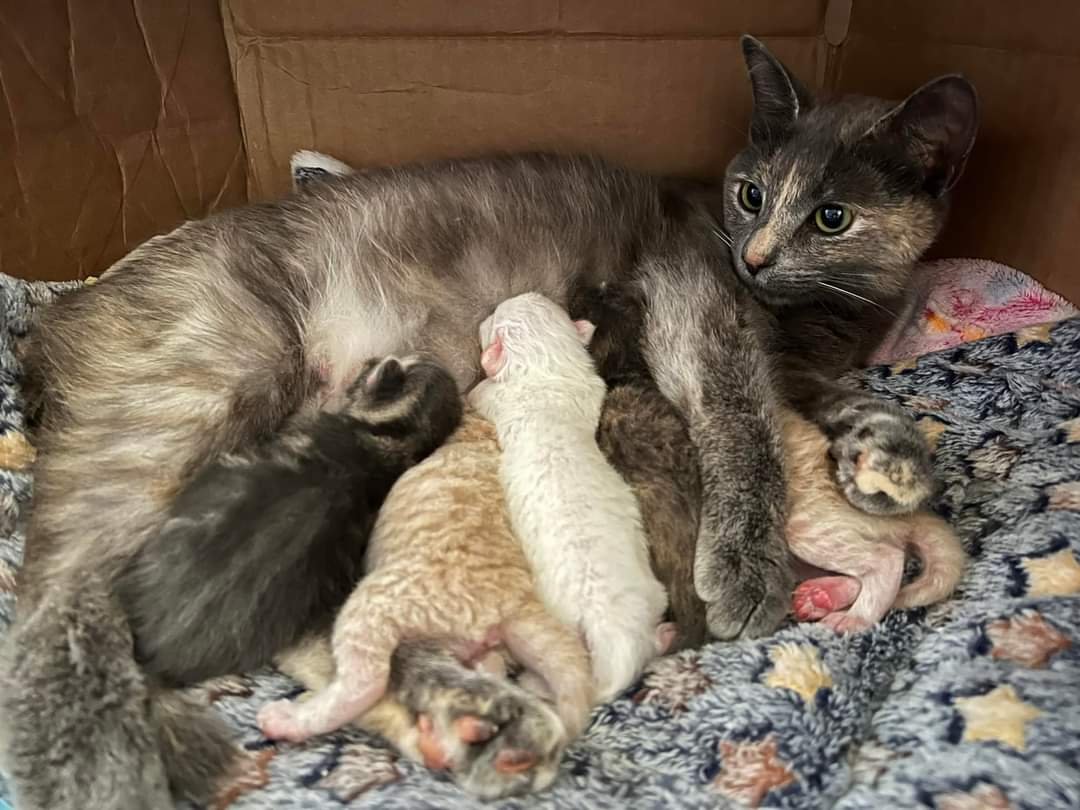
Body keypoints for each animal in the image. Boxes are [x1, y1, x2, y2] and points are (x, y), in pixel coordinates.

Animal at [258, 408, 596, 768]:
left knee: (364, 683)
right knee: (487, 673)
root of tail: (516, 602)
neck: (478, 432)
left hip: (378, 605)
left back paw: (289, 720)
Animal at [468, 295, 669, 699]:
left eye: (495, 318)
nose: (484, 316)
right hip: (650, 598)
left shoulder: (493, 394)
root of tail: (606, 625)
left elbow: (477, 394)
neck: (547, 371)